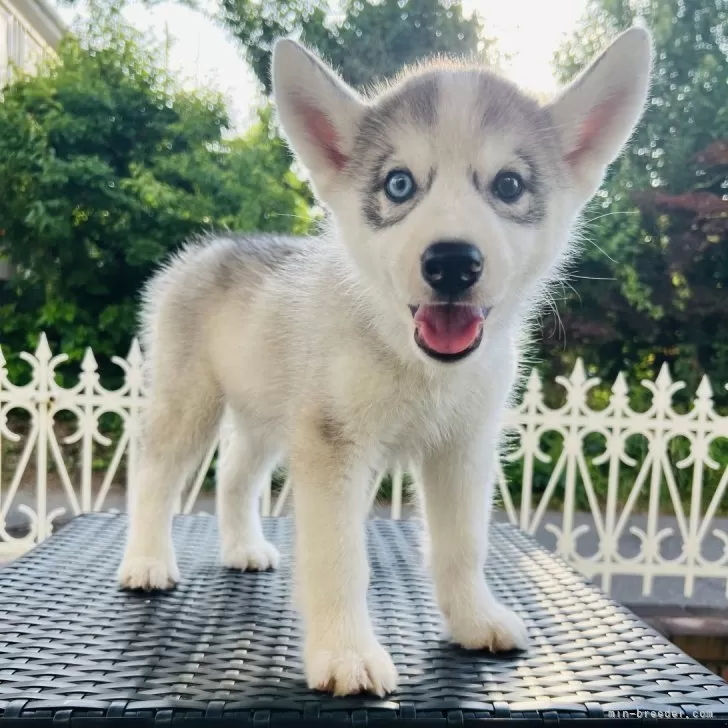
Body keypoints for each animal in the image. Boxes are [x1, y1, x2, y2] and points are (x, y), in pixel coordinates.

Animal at [119, 28, 656, 696]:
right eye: (399, 185)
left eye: (508, 185)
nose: (451, 262)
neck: (417, 364)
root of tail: (206, 250)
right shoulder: (333, 446)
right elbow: (339, 557)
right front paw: (344, 653)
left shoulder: (463, 448)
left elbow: (463, 544)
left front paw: (474, 620)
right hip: (191, 401)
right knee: (154, 470)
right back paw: (146, 560)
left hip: (270, 416)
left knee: (236, 473)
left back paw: (243, 547)